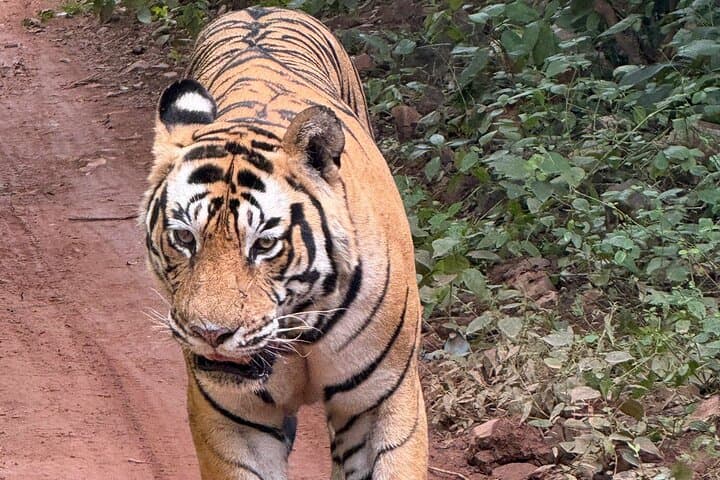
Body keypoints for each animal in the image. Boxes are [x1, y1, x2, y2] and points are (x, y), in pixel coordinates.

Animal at [142, 6, 428, 480]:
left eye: (263, 245)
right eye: (184, 237)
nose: (210, 334)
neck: (301, 331)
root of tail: (260, 9)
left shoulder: (381, 401)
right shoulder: (232, 417)